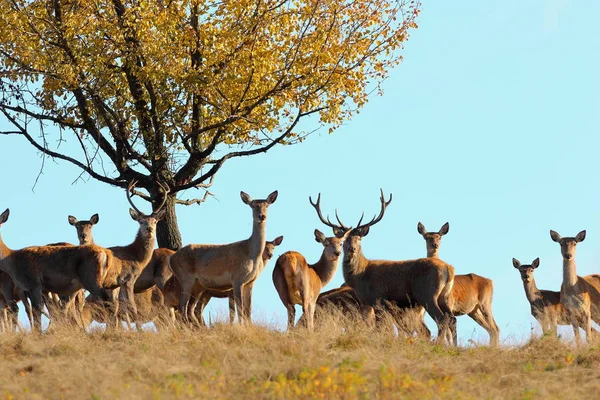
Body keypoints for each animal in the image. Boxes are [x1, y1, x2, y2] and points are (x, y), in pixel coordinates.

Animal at [170, 190, 278, 324]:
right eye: (252, 205)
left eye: (267, 205)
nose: (261, 216)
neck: (252, 255)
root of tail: (171, 259)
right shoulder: (237, 280)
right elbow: (240, 310)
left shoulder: (250, 282)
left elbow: (248, 311)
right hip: (186, 278)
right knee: (182, 307)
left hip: (198, 285)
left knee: (190, 309)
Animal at [274, 195, 352, 332]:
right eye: (326, 244)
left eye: (340, 243)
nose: (337, 253)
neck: (320, 276)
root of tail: (291, 259)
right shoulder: (314, 297)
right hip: (305, 288)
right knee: (304, 312)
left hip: (279, 285)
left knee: (291, 311)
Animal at [338, 191, 454, 344]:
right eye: (343, 240)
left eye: (359, 239)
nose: (352, 249)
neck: (360, 276)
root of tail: (449, 269)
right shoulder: (366, 303)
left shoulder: (378, 298)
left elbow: (379, 328)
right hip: (444, 296)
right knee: (451, 319)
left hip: (427, 294)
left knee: (441, 319)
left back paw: (437, 344)